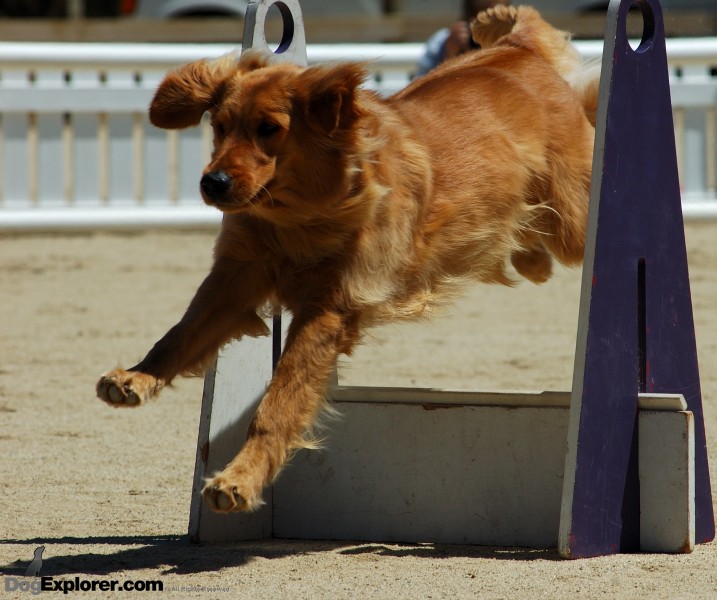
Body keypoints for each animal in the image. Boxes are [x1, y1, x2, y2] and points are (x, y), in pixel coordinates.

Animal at [96, 3, 600, 510]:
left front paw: (240, 478)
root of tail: (518, 50)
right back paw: (530, 258)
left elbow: (279, 399)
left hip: (575, 221)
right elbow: (181, 334)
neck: (298, 219)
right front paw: (136, 377)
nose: (212, 183)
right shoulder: (236, 277)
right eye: (219, 127)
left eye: (269, 129)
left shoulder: (331, 307)